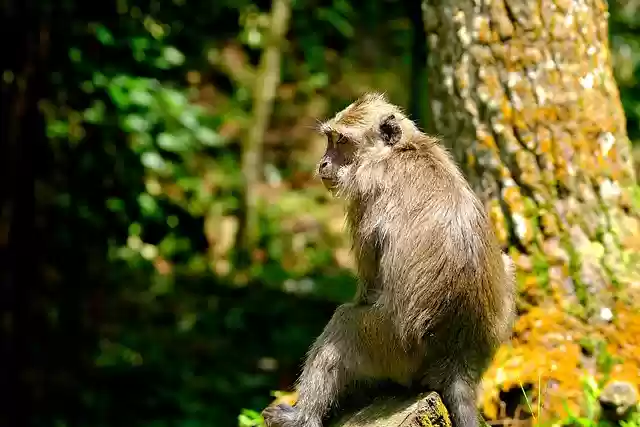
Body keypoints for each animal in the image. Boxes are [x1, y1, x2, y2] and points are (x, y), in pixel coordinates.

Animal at [262, 93, 516, 427]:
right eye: (330, 139)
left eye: (341, 141)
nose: (323, 163)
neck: (401, 150)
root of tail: (458, 361)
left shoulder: (362, 197)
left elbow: (367, 287)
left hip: (393, 353)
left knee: (345, 322)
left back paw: (302, 416)